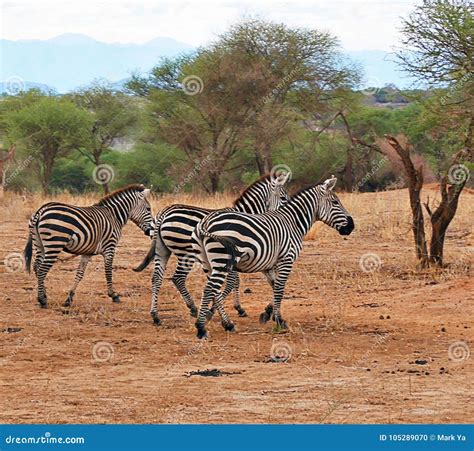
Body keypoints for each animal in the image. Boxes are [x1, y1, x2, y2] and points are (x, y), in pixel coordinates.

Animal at [24, 183, 154, 308]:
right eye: (148, 209)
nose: (151, 232)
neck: (114, 216)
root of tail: (41, 210)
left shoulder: (87, 252)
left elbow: (79, 274)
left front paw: (69, 298)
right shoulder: (110, 247)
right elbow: (108, 271)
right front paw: (113, 295)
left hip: (39, 244)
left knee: (36, 266)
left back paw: (44, 295)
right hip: (54, 244)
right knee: (42, 269)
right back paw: (42, 300)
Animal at [131, 173, 290, 324]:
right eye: (283, 197)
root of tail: (164, 212)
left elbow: (269, 281)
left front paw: (255, 309)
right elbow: (234, 283)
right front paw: (219, 310)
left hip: (162, 250)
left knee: (157, 278)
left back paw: (156, 315)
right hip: (186, 254)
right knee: (178, 278)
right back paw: (193, 308)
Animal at [191, 177, 354, 340]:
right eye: (335, 202)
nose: (351, 226)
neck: (293, 223)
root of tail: (205, 222)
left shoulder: (269, 264)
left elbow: (275, 286)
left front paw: (269, 313)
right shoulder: (286, 259)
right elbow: (280, 288)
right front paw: (279, 320)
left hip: (207, 262)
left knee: (213, 289)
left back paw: (221, 323)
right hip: (222, 261)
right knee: (210, 289)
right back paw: (202, 328)